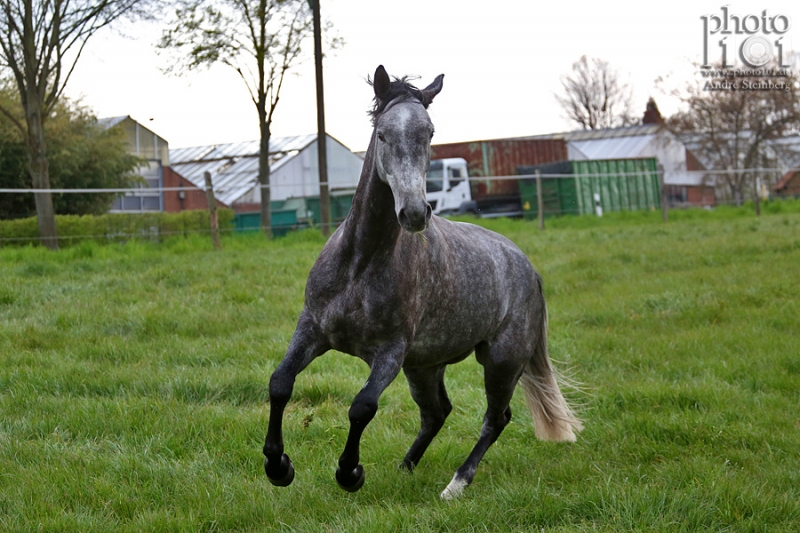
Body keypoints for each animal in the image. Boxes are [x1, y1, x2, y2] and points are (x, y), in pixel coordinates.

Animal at [262, 66, 580, 498]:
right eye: (382, 134)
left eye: (429, 132)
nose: (414, 213)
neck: (360, 264)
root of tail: (527, 267)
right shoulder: (312, 329)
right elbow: (280, 383)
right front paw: (278, 466)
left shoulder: (391, 351)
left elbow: (362, 406)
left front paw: (350, 472)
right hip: (425, 365)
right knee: (437, 412)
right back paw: (405, 467)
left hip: (501, 360)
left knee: (495, 418)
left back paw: (456, 485)